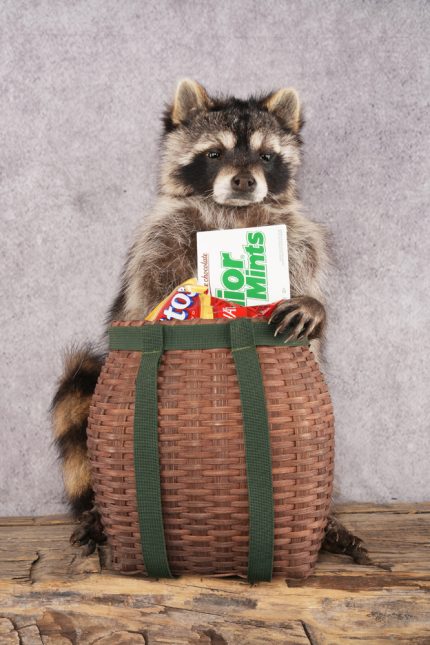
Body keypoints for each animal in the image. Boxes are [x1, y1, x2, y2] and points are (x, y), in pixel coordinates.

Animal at [51, 79, 371, 564]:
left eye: (265, 156)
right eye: (215, 154)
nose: (244, 180)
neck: (232, 214)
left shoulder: (298, 238)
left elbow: (307, 278)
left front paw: (313, 305)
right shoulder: (159, 241)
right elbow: (151, 294)